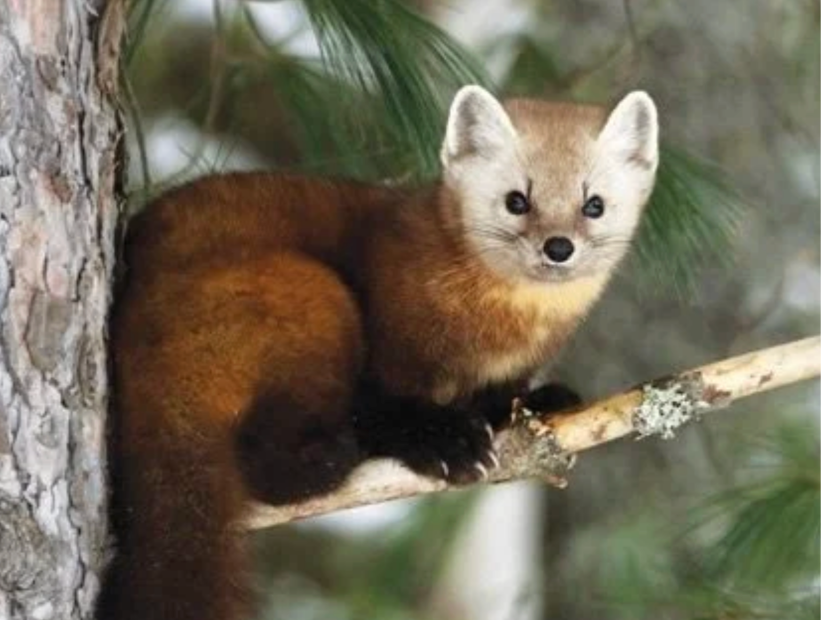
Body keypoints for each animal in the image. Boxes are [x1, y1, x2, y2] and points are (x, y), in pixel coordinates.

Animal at [98, 86, 659, 619]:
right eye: (517, 199)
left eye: (594, 203)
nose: (558, 246)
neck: (498, 337)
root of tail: (147, 341)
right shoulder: (387, 338)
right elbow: (385, 407)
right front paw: (447, 443)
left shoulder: (506, 373)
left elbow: (500, 401)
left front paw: (546, 400)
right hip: (314, 297)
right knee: (270, 466)